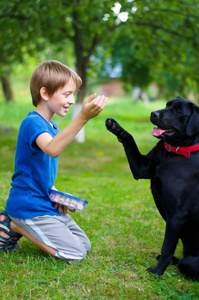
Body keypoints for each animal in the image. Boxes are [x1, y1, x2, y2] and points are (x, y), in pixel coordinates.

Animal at [106, 96, 199, 278]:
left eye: (178, 111)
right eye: (167, 105)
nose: (153, 113)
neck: (173, 153)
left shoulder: (176, 215)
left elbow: (167, 246)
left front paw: (157, 271)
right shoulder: (142, 168)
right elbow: (130, 140)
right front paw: (116, 127)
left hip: (191, 261)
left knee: (184, 262)